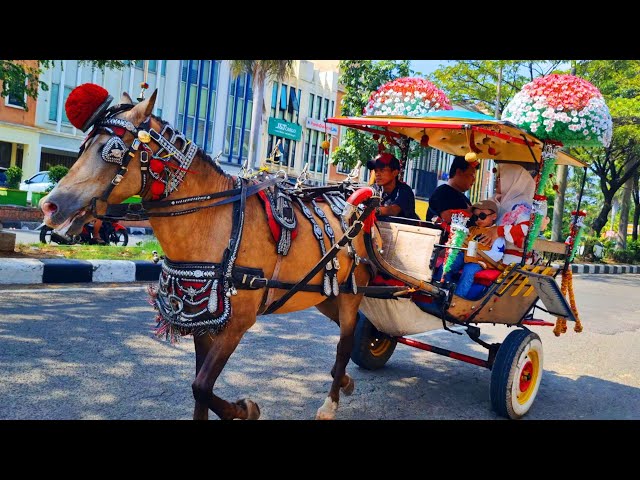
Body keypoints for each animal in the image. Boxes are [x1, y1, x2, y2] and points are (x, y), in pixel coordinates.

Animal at [41, 91, 370, 420]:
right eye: (83, 147)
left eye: (111, 150)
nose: (49, 205)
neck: (215, 224)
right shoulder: (201, 319)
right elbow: (200, 388)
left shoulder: (238, 323)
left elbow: (201, 386)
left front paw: (245, 409)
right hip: (323, 295)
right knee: (348, 331)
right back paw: (344, 379)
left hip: (352, 292)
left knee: (345, 342)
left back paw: (330, 401)